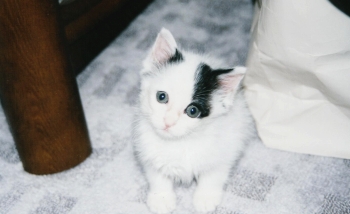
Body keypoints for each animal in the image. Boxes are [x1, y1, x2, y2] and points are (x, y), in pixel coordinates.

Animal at [133, 28, 256, 214]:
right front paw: (161, 198)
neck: (180, 141)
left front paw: (205, 198)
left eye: (192, 111)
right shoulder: (147, 148)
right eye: (161, 97)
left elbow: (213, 174)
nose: (168, 121)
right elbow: (157, 174)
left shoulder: (226, 147)